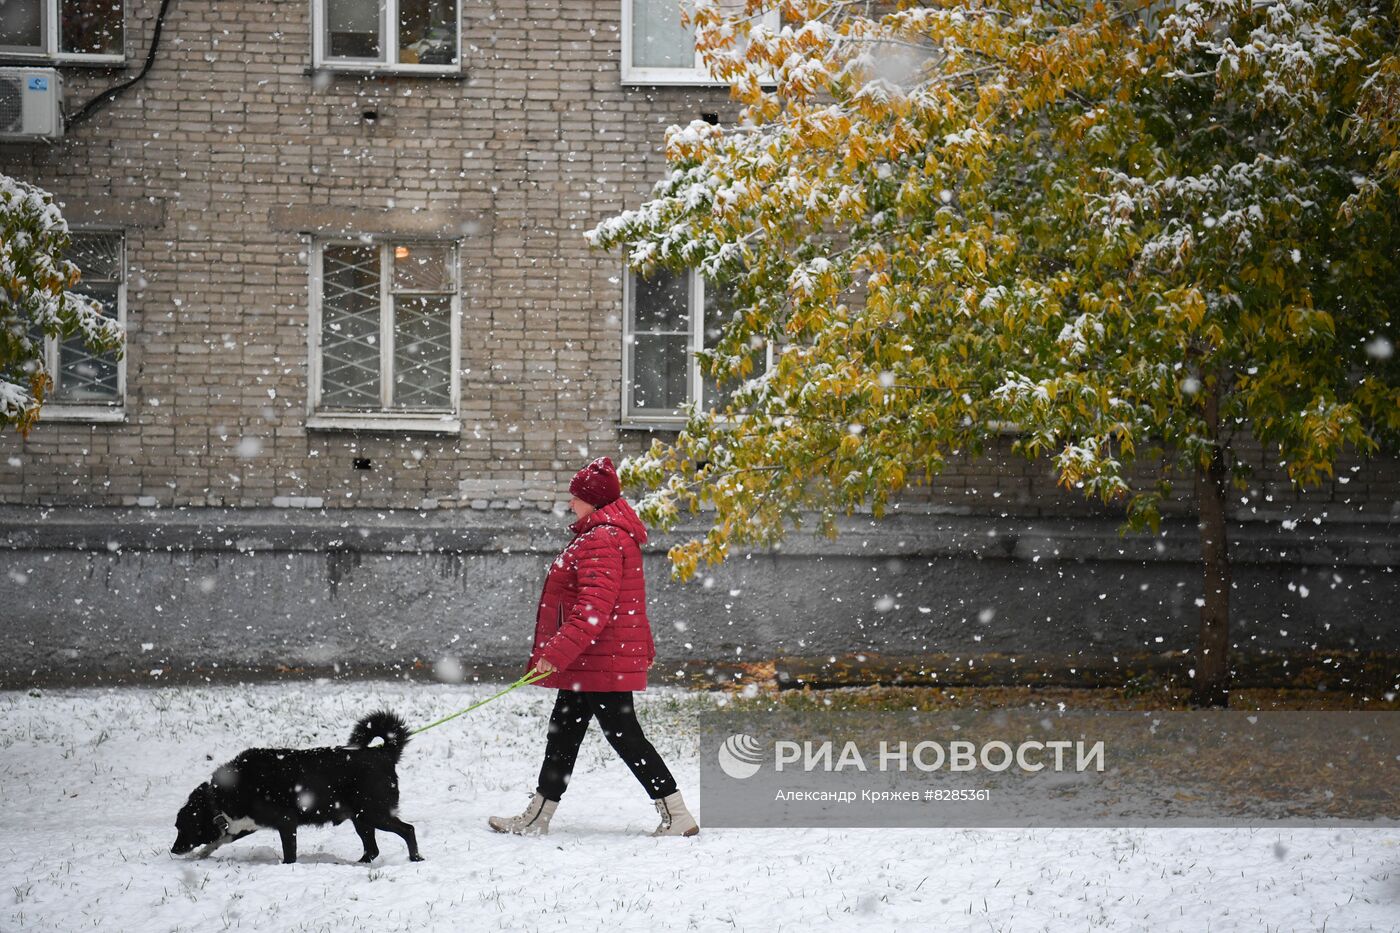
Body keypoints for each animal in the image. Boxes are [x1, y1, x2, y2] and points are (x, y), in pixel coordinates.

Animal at [170, 708, 420, 862]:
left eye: (182, 827)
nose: (173, 850)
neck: (222, 795)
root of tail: (383, 753)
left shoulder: (286, 822)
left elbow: (289, 854)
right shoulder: (246, 825)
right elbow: (219, 840)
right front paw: (201, 855)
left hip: (374, 813)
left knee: (408, 830)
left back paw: (416, 858)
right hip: (361, 819)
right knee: (372, 850)